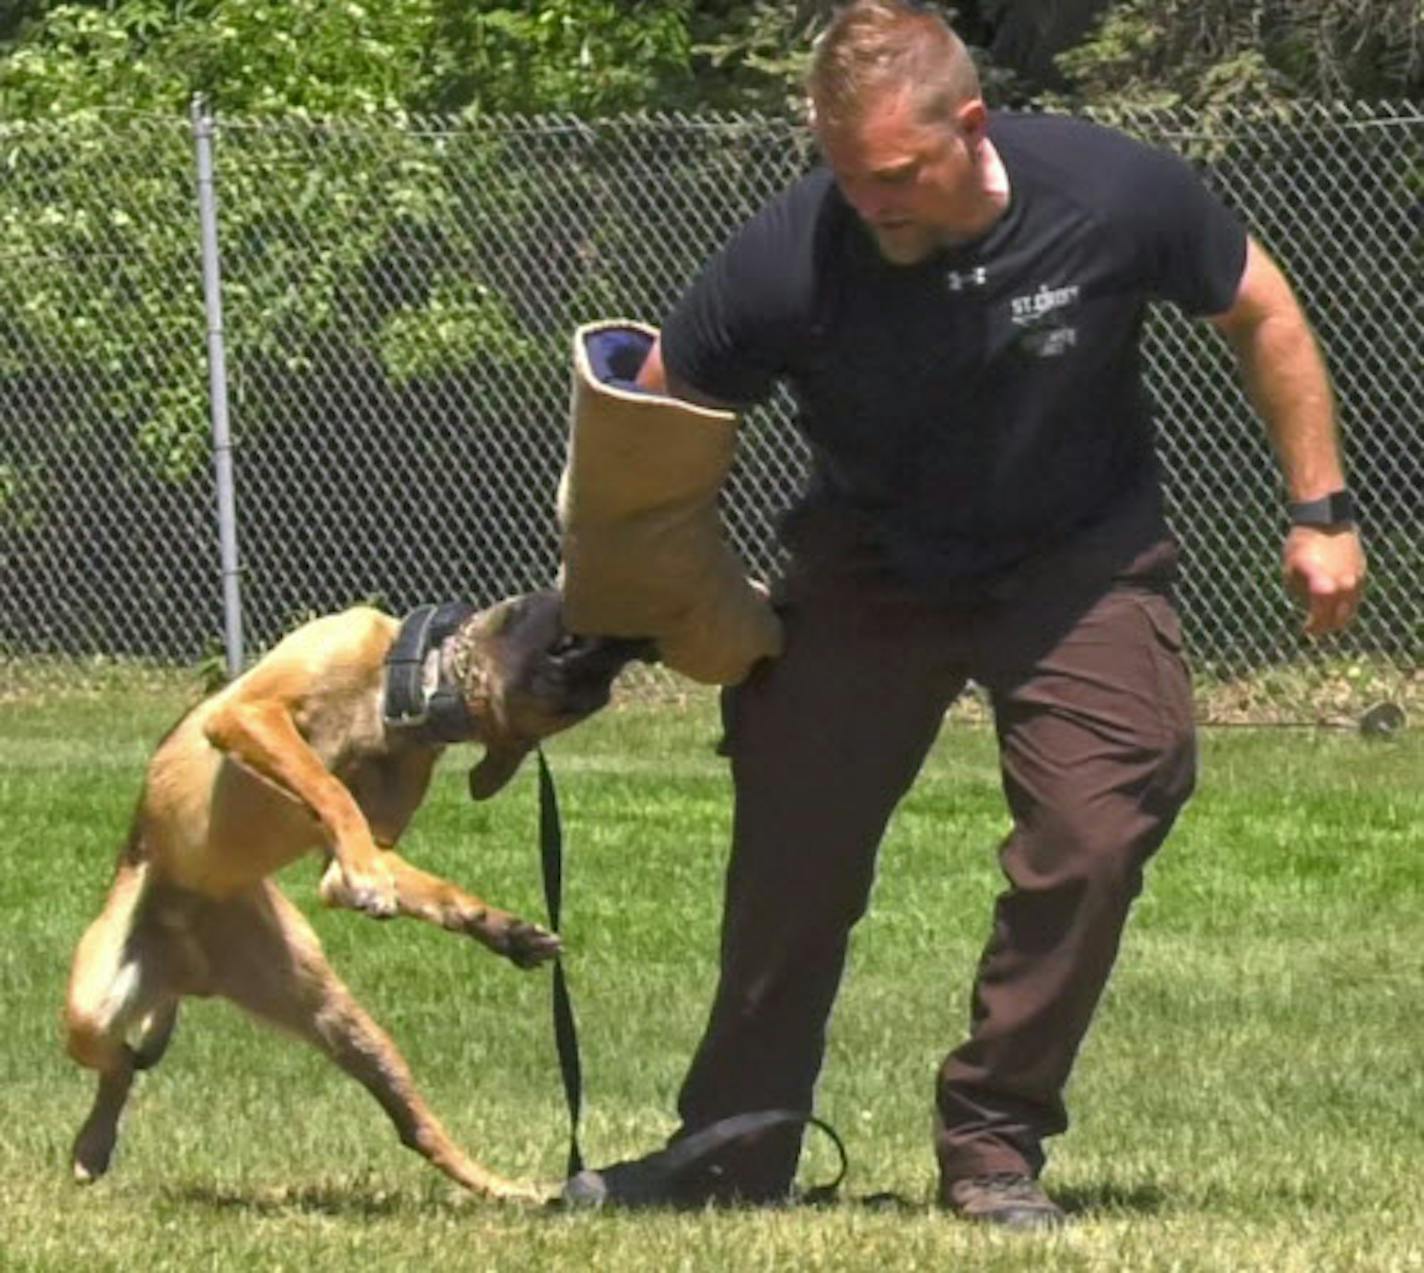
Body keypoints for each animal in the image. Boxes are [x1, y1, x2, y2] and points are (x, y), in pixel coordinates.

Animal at [62, 592, 652, 1201]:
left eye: (594, 691)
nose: (644, 639)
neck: (403, 692)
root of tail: (191, 974)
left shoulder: (355, 847)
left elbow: (415, 878)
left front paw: (502, 930)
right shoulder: (250, 712)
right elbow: (326, 784)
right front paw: (370, 876)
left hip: (332, 1013)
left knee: (417, 1128)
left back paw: (510, 1188)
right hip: (91, 1007)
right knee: (119, 1063)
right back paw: (92, 1144)